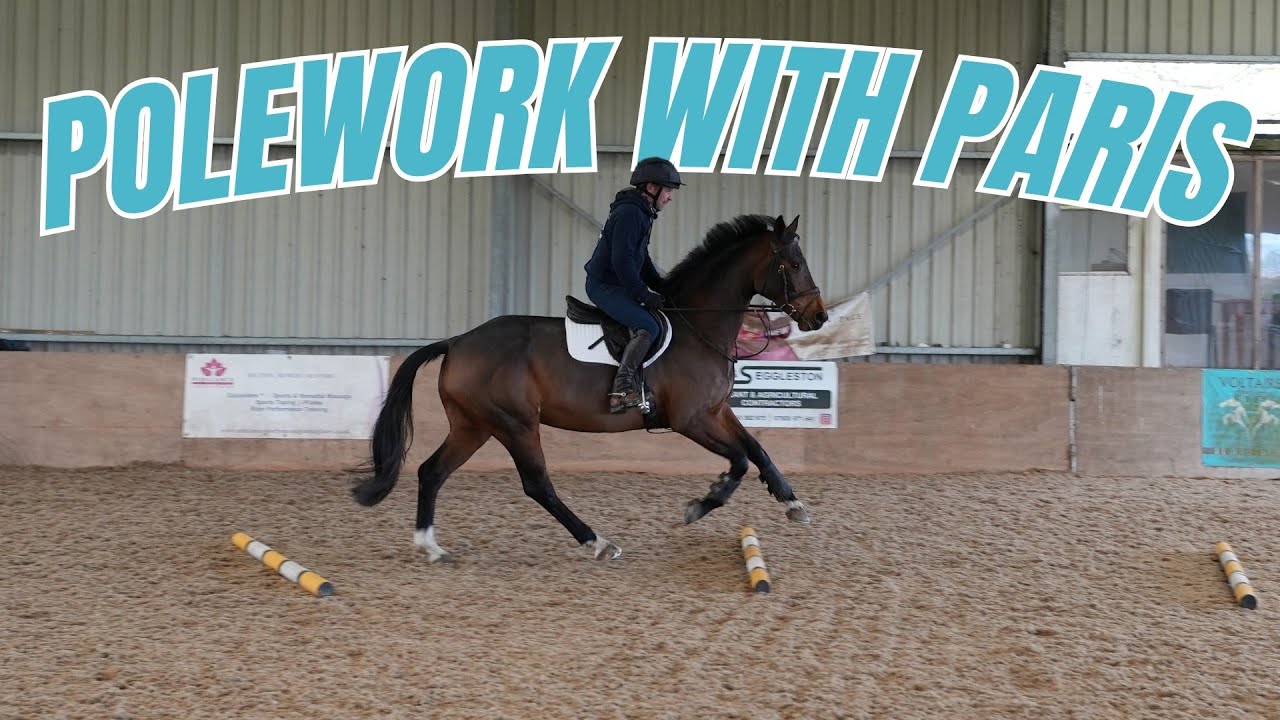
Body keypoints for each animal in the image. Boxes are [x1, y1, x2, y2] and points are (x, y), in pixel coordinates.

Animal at [350, 213, 830, 562]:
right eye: (794, 264)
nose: (819, 316)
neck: (699, 325)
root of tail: (457, 341)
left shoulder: (715, 411)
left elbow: (757, 450)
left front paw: (792, 504)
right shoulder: (690, 419)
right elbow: (739, 461)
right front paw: (702, 503)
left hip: (474, 425)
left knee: (432, 472)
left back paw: (430, 546)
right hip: (514, 424)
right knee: (537, 485)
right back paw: (597, 542)